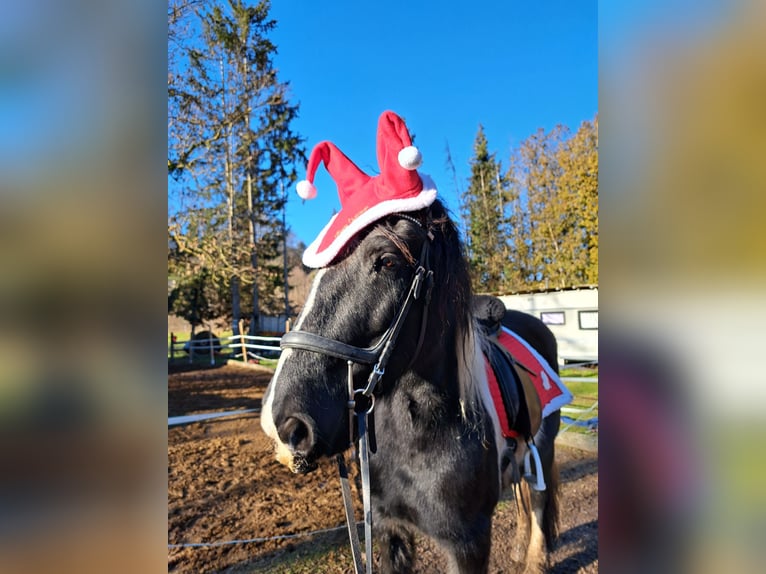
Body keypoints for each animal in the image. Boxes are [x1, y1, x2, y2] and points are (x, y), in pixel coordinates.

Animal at [264, 199, 564, 574]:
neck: (419, 433)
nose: (283, 424)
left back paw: (535, 558)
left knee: (537, 498)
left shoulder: (469, 542)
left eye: (387, 261)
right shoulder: (389, 527)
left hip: (545, 446)